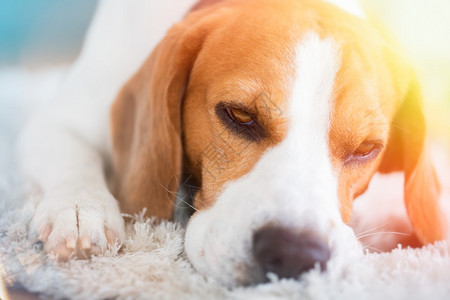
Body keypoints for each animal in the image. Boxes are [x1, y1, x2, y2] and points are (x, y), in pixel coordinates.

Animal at [18, 0, 446, 288]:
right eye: (239, 115)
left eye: (366, 149)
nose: (295, 252)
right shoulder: (56, 120)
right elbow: (72, 159)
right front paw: (80, 211)